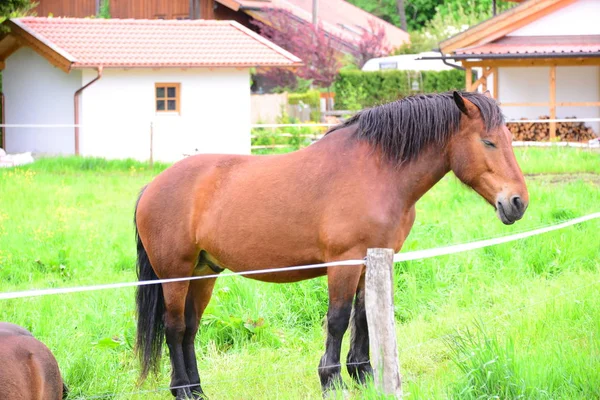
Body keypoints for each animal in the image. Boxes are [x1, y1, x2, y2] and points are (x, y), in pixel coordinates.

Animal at [134, 91, 528, 400]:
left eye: (509, 141)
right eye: (488, 142)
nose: (518, 202)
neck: (376, 171)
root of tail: (152, 186)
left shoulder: (372, 262)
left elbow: (364, 316)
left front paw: (364, 377)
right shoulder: (344, 262)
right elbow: (338, 320)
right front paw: (332, 381)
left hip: (204, 273)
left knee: (190, 329)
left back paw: (198, 390)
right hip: (175, 274)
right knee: (174, 328)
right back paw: (182, 391)